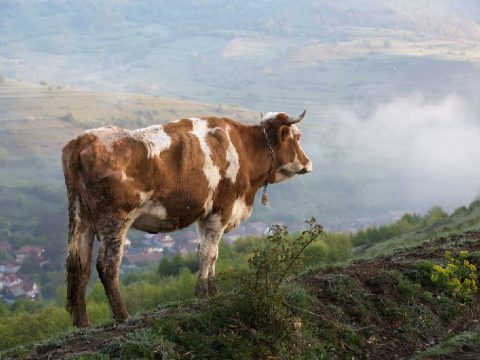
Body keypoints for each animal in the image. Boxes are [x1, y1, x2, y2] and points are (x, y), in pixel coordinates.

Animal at [62, 109, 312, 326]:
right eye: (298, 136)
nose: (308, 163)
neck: (243, 148)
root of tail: (85, 139)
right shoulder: (221, 210)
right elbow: (207, 253)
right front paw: (202, 293)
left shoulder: (207, 216)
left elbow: (212, 254)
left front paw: (212, 291)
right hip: (114, 220)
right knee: (107, 266)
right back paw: (123, 316)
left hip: (83, 220)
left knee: (80, 267)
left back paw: (83, 323)